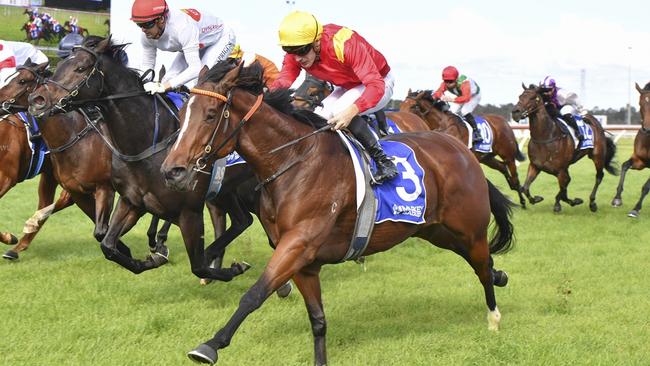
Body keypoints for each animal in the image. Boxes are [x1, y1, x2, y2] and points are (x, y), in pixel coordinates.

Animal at [28, 38, 251, 280]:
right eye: (59, 66)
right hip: (225, 192)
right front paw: (151, 258)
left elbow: (197, 265)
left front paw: (230, 269)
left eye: (80, 68)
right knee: (242, 220)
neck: (147, 144)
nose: (37, 99)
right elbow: (107, 244)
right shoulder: (131, 200)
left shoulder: (188, 210)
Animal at [161, 61, 512, 364]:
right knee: (481, 261)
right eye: (182, 114)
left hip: (469, 228)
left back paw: (494, 317)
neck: (294, 160)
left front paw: (210, 345)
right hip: (435, 230)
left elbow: (255, 293)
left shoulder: (298, 244)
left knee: (481, 265)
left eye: (210, 115)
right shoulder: (304, 262)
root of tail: (461, 150)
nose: (172, 171)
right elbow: (317, 319)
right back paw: (501, 276)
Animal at [400, 90, 528, 207]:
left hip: (508, 155)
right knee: (502, 167)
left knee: (515, 177)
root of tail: (504, 122)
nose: (402, 118)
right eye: (401, 105)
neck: (443, 126)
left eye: (413, 106)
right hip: (486, 158)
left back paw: (524, 200)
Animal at [512, 84, 612, 212]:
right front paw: (536, 199)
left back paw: (592, 202)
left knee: (599, 176)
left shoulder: (560, 170)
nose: (515, 112)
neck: (546, 136)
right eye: (520, 96)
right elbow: (525, 188)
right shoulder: (535, 166)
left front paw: (573, 201)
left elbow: (564, 192)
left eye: (533, 97)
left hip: (597, 156)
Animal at [612, 82, 648, 217]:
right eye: (640, 103)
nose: (647, 129)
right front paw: (617, 199)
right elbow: (624, 166)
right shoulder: (640, 161)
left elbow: (646, 186)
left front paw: (635, 209)